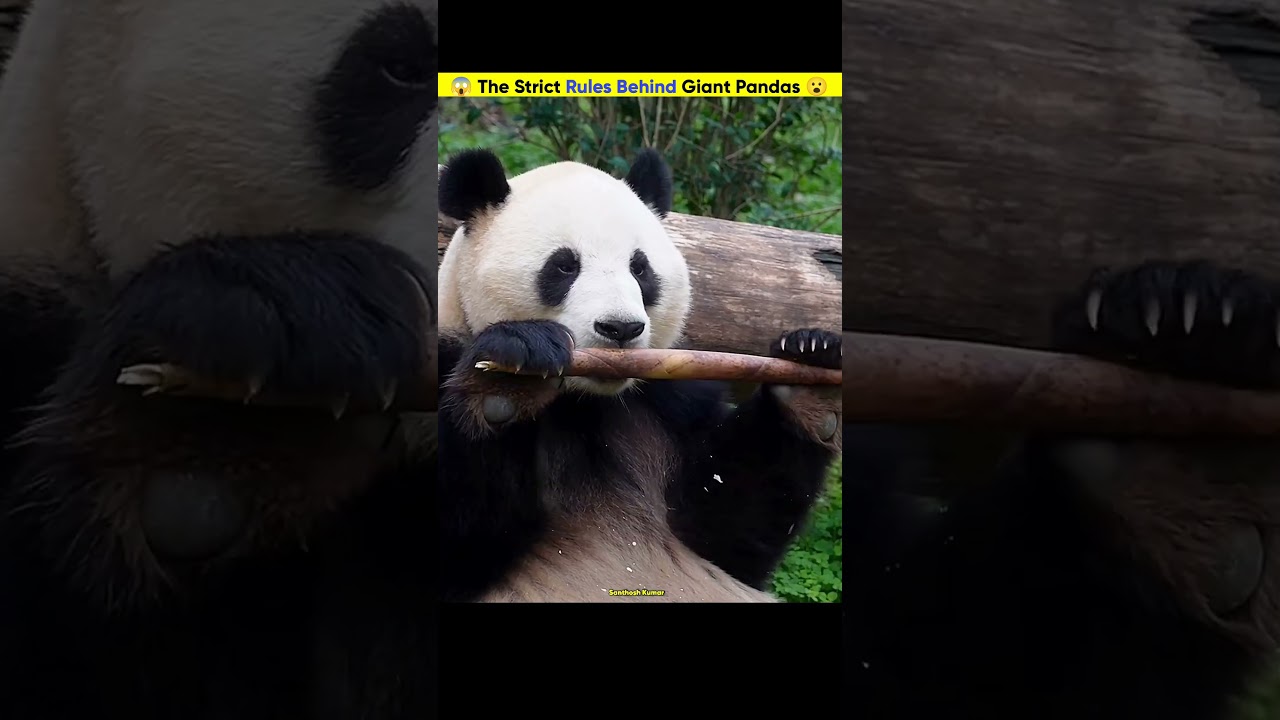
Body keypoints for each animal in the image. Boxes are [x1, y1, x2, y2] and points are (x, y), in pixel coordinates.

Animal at [436, 147, 842, 602]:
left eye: (640, 268)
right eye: (564, 266)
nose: (620, 328)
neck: (585, 399)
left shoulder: (674, 399)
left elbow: (726, 532)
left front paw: (808, 369)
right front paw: (507, 380)